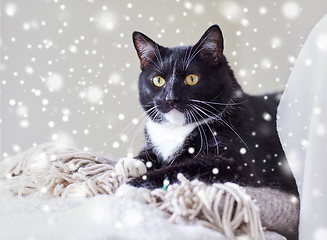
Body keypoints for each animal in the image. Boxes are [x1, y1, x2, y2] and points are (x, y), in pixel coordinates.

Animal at [115, 24, 300, 197]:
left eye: (192, 78)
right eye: (158, 80)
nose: (170, 98)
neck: (176, 129)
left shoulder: (237, 161)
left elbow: (181, 168)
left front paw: (131, 187)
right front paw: (131, 162)